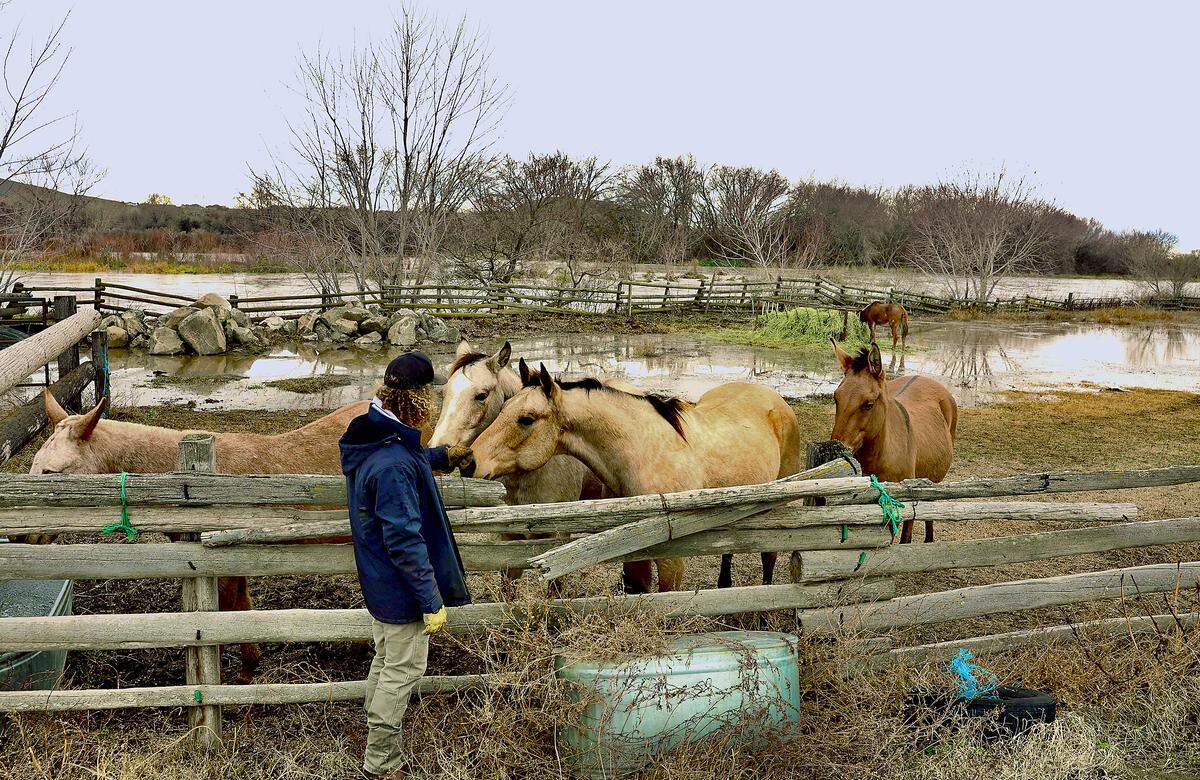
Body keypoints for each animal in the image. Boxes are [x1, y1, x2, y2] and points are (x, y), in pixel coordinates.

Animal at [470, 367, 802, 590]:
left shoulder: (671, 558)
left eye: (526, 419)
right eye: (503, 408)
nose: (469, 461)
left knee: (769, 556)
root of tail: (774, 398)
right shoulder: (633, 549)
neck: (643, 451)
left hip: (777, 507)